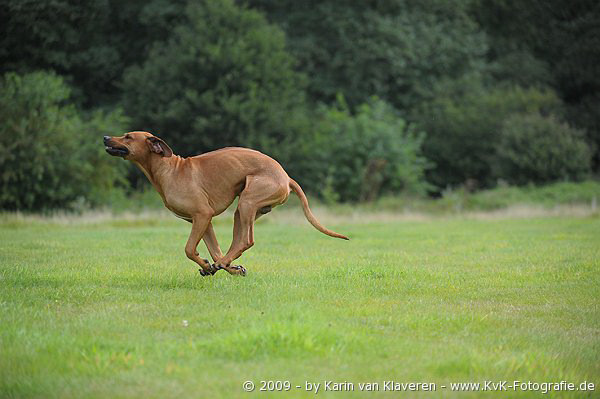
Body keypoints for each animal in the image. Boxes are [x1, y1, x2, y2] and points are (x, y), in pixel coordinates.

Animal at [103, 133, 346, 276]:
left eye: (128, 136)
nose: (105, 137)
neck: (169, 169)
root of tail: (286, 177)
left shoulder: (202, 214)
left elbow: (189, 249)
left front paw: (209, 265)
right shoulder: (203, 221)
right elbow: (215, 250)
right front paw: (224, 268)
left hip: (247, 201)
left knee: (246, 241)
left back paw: (223, 264)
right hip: (244, 210)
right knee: (237, 243)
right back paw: (227, 264)